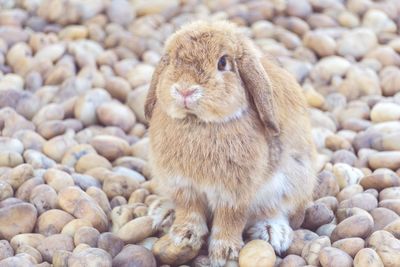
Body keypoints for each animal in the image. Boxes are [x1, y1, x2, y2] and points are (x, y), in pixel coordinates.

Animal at [145, 19, 318, 266]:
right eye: (171, 61)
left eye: (223, 62)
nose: (185, 90)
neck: (199, 122)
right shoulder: (183, 187)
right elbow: (189, 211)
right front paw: (183, 235)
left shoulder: (235, 195)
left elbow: (230, 220)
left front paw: (224, 253)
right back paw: (163, 213)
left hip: (292, 180)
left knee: (275, 210)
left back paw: (273, 233)